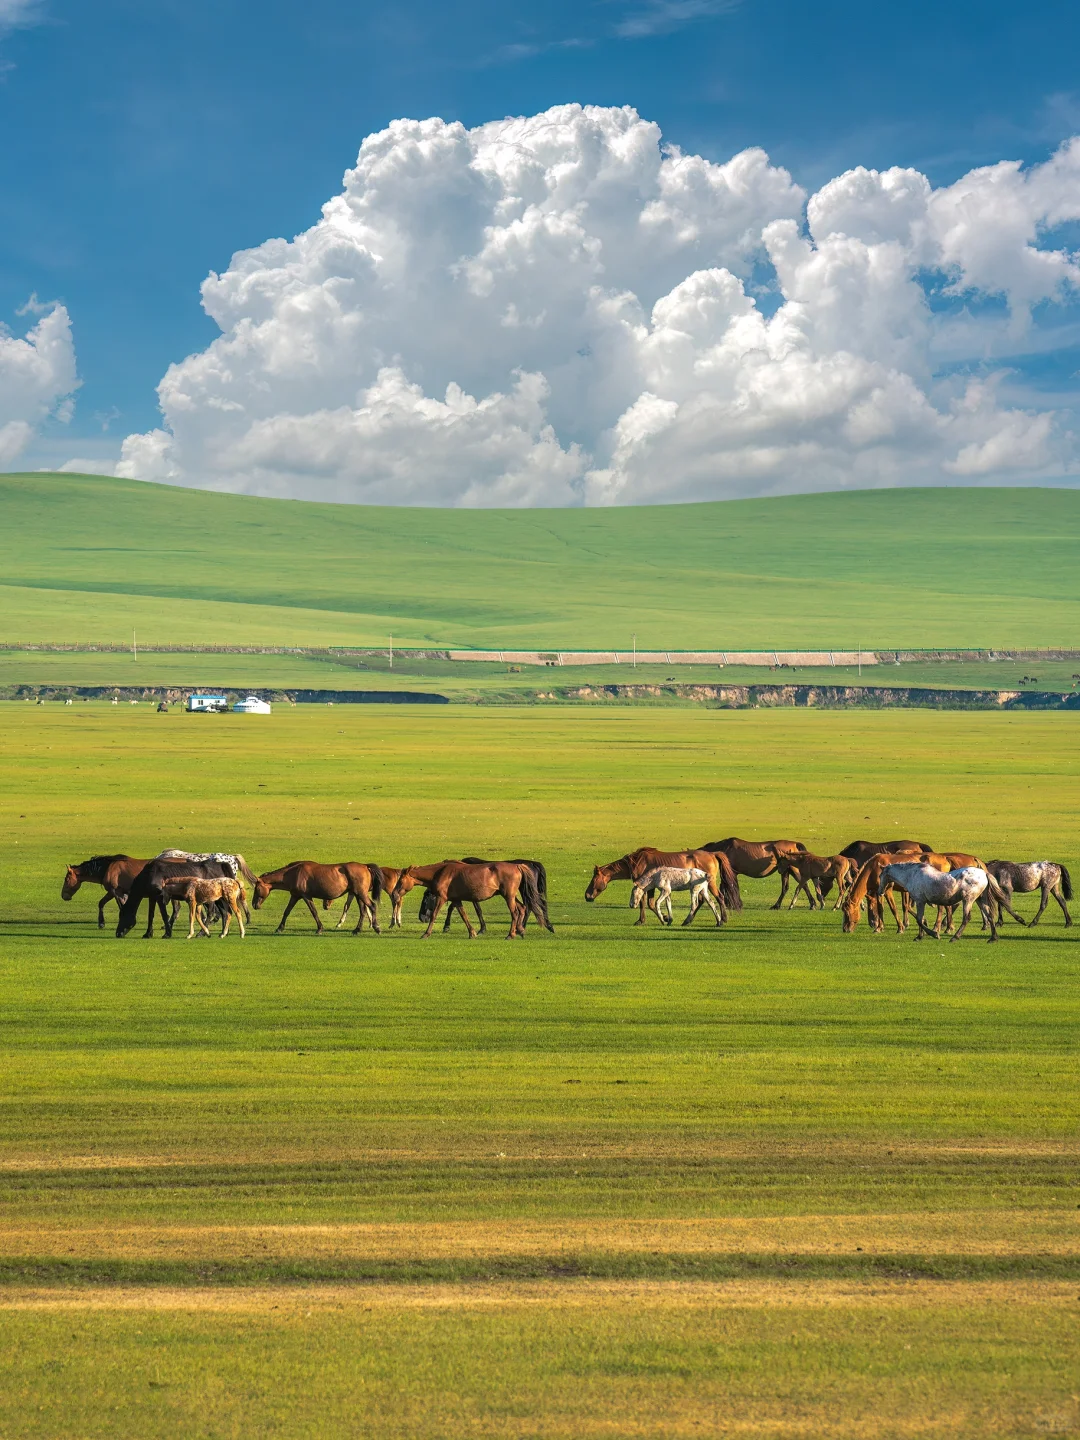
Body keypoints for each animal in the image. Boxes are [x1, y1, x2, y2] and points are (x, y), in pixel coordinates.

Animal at [252, 858, 385, 938]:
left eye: (257, 888)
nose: (254, 904)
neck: (293, 873)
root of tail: (365, 866)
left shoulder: (306, 896)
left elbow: (314, 912)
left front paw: (320, 929)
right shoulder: (295, 896)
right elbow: (286, 911)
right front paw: (280, 928)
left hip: (361, 894)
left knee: (372, 906)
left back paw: (377, 928)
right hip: (357, 895)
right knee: (363, 911)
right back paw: (357, 930)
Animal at [584, 840, 743, 921]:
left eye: (594, 879)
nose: (587, 896)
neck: (636, 862)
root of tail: (713, 854)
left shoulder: (648, 886)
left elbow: (648, 903)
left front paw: (662, 918)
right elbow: (648, 903)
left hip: (710, 883)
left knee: (720, 897)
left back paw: (723, 919)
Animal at [881, 864, 1013, 944]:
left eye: (880, 875)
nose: (879, 891)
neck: (913, 875)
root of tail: (984, 874)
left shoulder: (920, 901)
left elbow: (919, 920)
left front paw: (934, 934)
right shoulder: (921, 902)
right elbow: (921, 919)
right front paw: (920, 936)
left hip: (968, 900)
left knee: (967, 918)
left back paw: (955, 937)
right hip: (980, 900)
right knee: (989, 916)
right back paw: (993, 938)